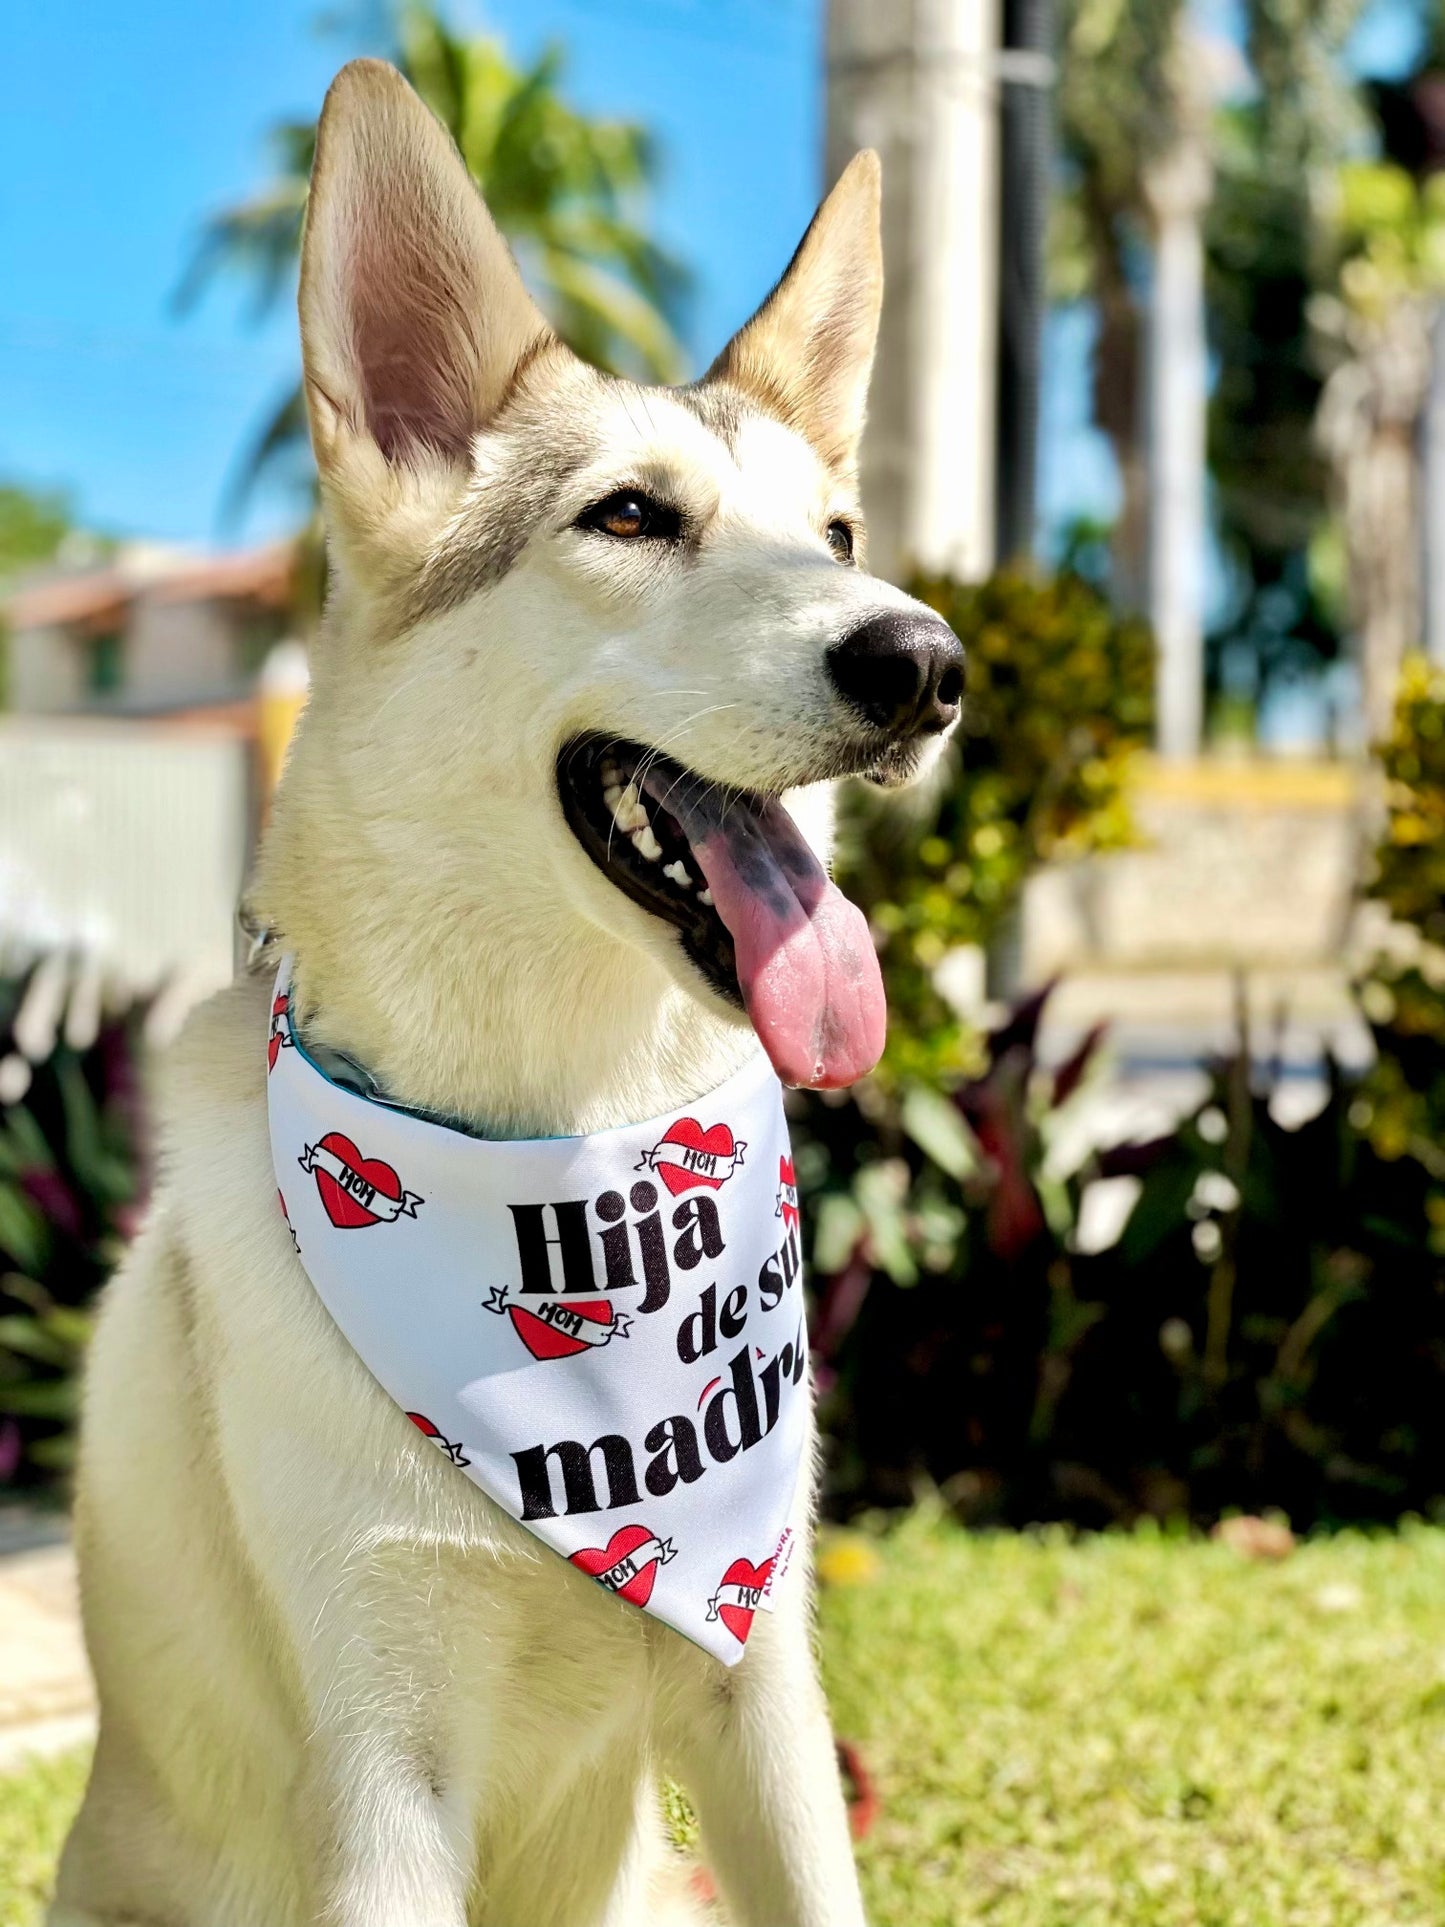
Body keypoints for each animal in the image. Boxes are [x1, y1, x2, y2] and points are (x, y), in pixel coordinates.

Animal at [53, 60, 963, 1927]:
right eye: (629, 516)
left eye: (837, 533)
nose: (924, 661)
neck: (570, 1148)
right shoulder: (387, 1766)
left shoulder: (763, 1690)